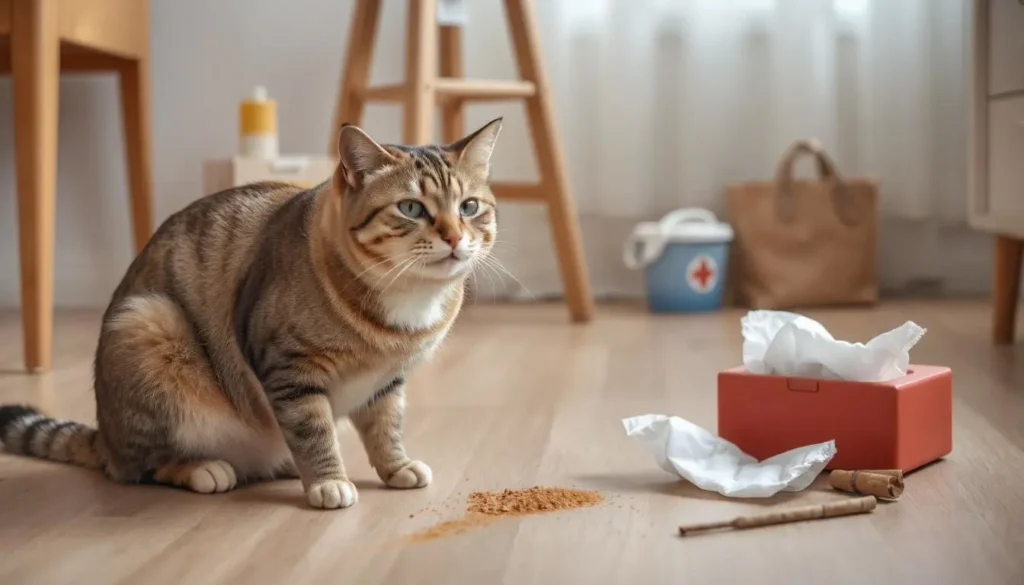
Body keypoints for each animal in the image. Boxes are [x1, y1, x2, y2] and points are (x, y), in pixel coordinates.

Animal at [0, 117, 499, 508]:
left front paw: (395, 467)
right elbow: (314, 431)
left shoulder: (386, 381)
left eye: (470, 207)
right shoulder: (289, 370)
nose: (455, 237)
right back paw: (204, 469)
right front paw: (329, 482)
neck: (405, 306)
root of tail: (104, 436)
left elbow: (386, 427)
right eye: (411, 208)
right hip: (148, 326)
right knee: (139, 467)